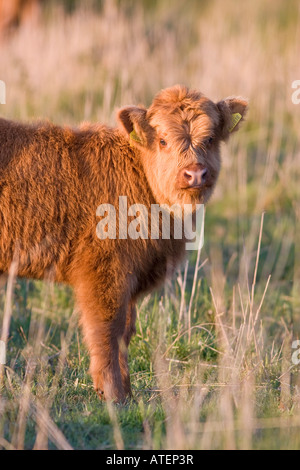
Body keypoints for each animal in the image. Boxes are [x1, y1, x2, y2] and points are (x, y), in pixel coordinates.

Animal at [0, 84, 247, 400]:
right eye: (163, 140)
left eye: (211, 138)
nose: (195, 173)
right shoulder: (104, 275)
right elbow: (107, 331)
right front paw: (112, 393)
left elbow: (126, 331)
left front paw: (127, 392)